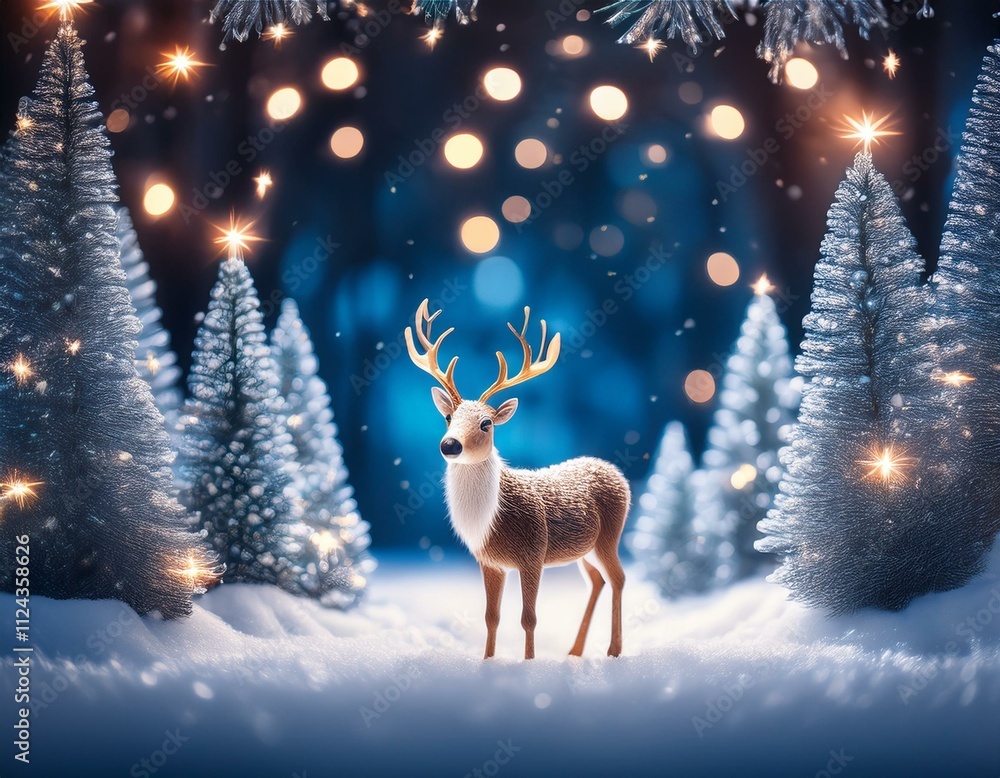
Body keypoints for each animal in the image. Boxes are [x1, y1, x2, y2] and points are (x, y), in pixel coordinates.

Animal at [405, 299, 630, 660]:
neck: (492, 520)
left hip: (609, 535)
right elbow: (491, 616)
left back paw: (613, 650)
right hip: (586, 548)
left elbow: (528, 618)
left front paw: (528, 662)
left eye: (486, 423)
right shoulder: (489, 562)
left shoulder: (533, 553)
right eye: (448, 416)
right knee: (598, 580)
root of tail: (614, 471)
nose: (450, 444)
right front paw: (488, 660)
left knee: (619, 578)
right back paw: (575, 651)